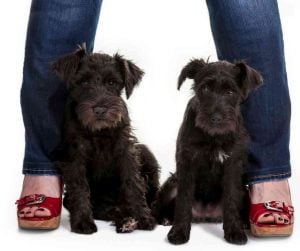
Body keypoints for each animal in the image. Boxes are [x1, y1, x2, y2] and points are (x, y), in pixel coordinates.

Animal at [51, 44, 161, 234]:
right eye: (84, 82)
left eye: (112, 82)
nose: (100, 109)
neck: (99, 131)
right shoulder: (75, 155)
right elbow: (80, 187)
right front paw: (82, 222)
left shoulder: (126, 150)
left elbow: (133, 182)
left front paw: (144, 217)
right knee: (109, 208)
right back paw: (125, 220)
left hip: (146, 154)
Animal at [155, 58, 262, 243]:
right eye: (205, 88)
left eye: (230, 91)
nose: (216, 118)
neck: (213, 136)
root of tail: (205, 215)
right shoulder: (187, 162)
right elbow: (183, 200)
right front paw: (179, 231)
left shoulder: (232, 165)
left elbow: (231, 198)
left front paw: (234, 231)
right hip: (172, 184)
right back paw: (165, 218)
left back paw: (243, 222)